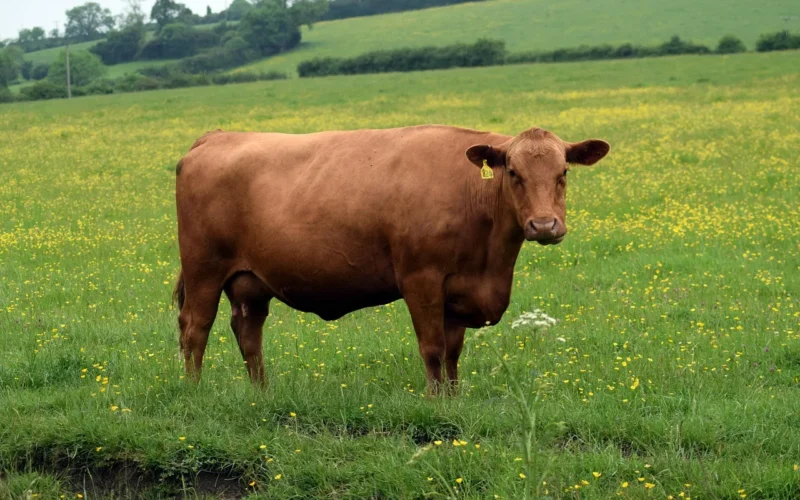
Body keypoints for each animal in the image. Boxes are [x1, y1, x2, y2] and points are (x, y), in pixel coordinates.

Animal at [173, 125, 609, 393]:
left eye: (563, 171)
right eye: (514, 173)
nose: (544, 224)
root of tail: (216, 137)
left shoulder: (458, 289)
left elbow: (453, 351)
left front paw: (454, 399)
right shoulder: (421, 278)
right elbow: (432, 348)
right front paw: (436, 404)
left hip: (250, 282)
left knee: (249, 333)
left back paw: (262, 393)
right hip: (203, 270)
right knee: (195, 328)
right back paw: (195, 392)